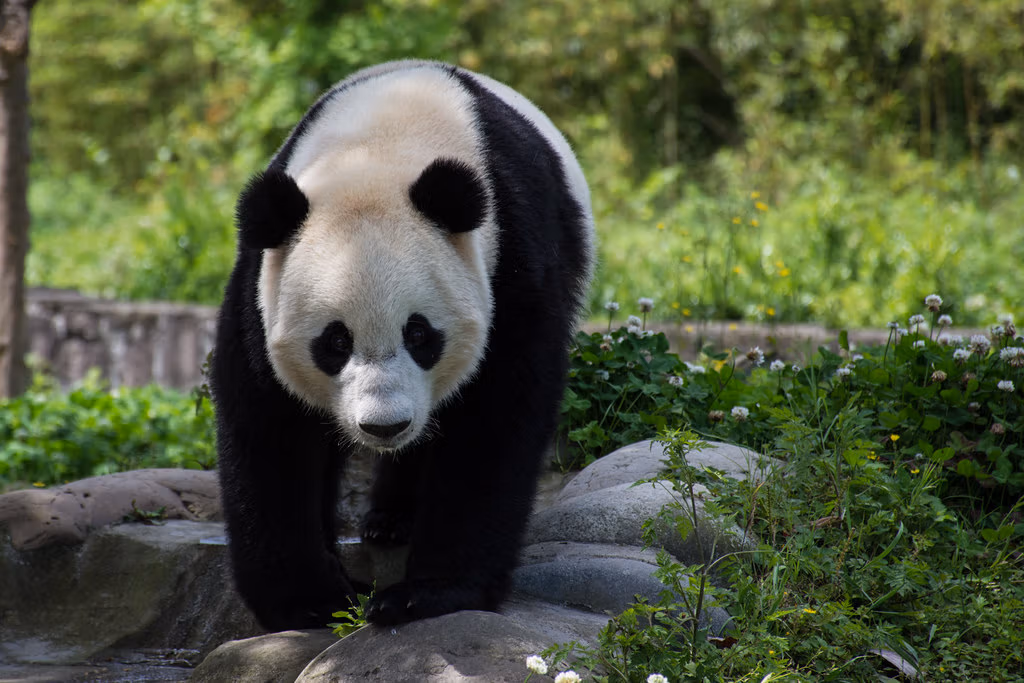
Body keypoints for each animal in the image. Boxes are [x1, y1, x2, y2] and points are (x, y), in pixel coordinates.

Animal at [211, 60, 594, 630]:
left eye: (419, 334)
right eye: (334, 342)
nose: (384, 426)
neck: (380, 147)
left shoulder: (512, 262)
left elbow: (495, 417)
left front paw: (425, 595)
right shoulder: (263, 281)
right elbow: (269, 422)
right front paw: (310, 599)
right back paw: (385, 521)